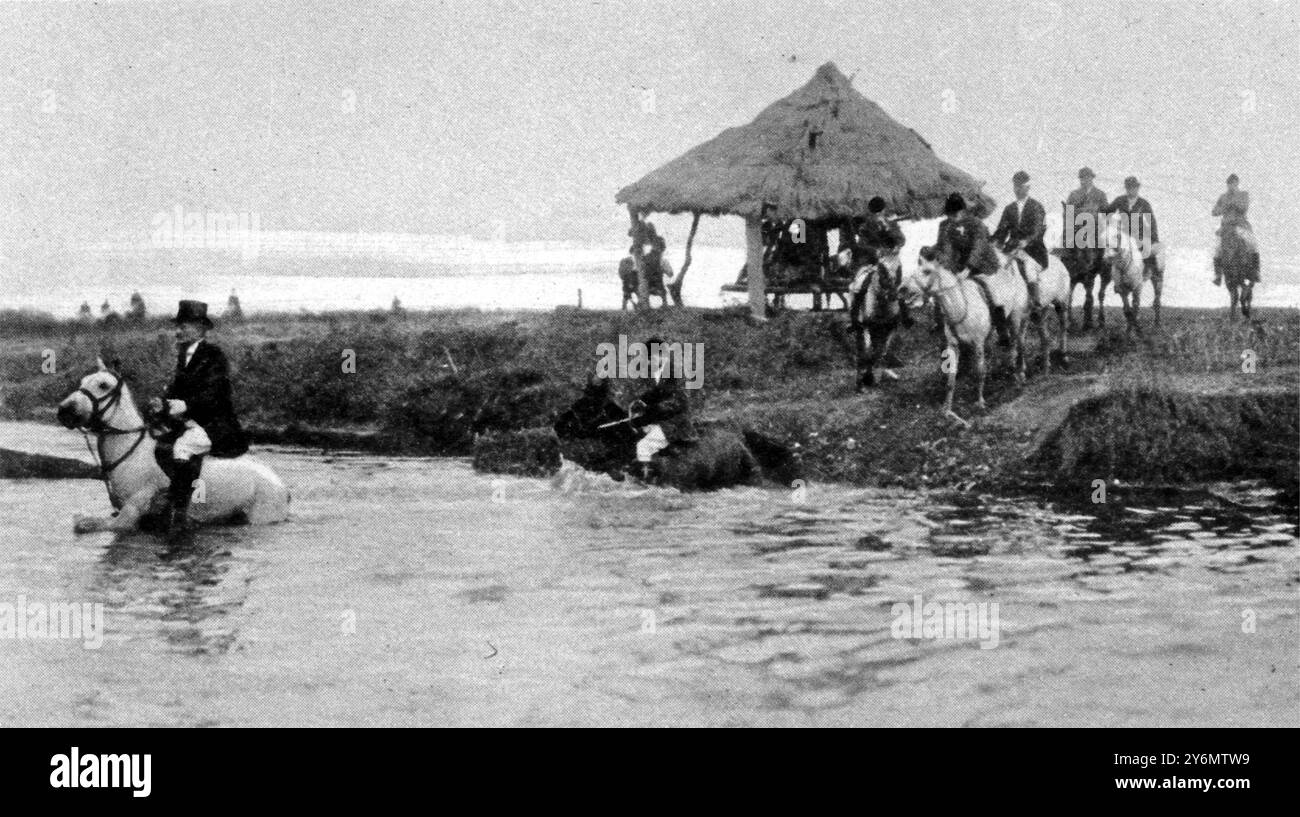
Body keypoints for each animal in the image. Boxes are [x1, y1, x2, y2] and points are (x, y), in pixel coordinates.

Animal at [56, 361, 289, 533]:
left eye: (103, 385)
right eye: (83, 381)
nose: (64, 411)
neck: (131, 451)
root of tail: (282, 485)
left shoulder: (129, 516)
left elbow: (87, 524)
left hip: (260, 516)